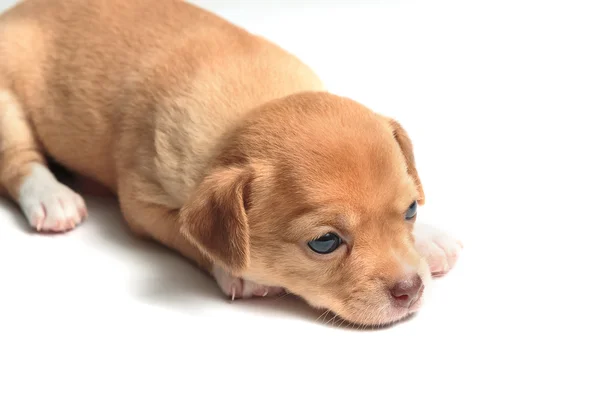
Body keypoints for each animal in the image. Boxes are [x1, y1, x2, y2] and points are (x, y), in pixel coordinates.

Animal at [0, 0, 464, 326]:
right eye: (325, 243)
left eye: (411, 210)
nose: (411, 289)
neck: (252, 105)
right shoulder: (142, 203)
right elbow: (188, 234)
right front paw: (237, 272)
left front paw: (429, 239)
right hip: (8, 109)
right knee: (18, 160)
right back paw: (52, 198)